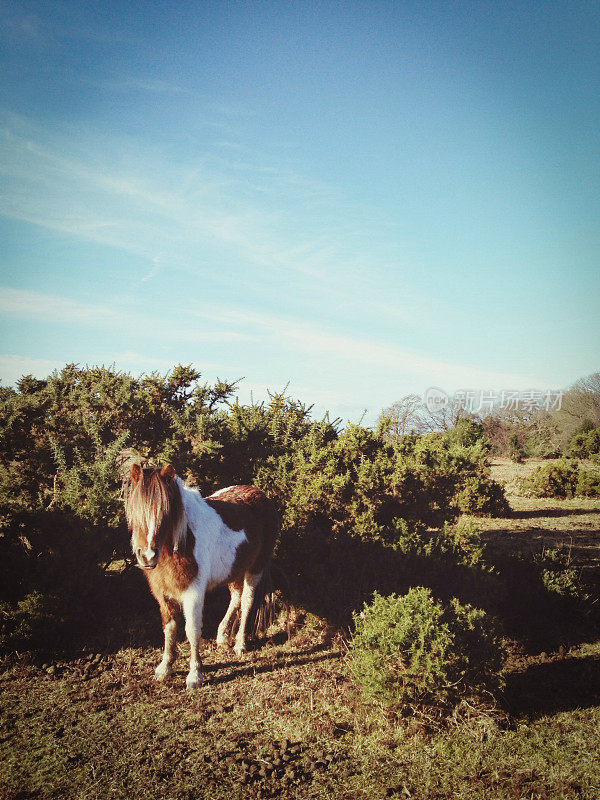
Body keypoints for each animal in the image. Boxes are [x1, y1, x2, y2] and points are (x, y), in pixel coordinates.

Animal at [125, 466, 280, 692]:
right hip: (234, 570)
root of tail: (259, 494)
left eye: (166, 512)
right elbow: (169, 628)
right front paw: (165, 667)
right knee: (236, 597)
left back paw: (240, 643)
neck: (181, 542)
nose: (147, 556)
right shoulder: (163, 594)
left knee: (246, 601)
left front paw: (195, 675)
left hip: (255, 568)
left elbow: (192, 630)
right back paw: (223, 636)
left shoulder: (194, 593)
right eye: (134, 509)